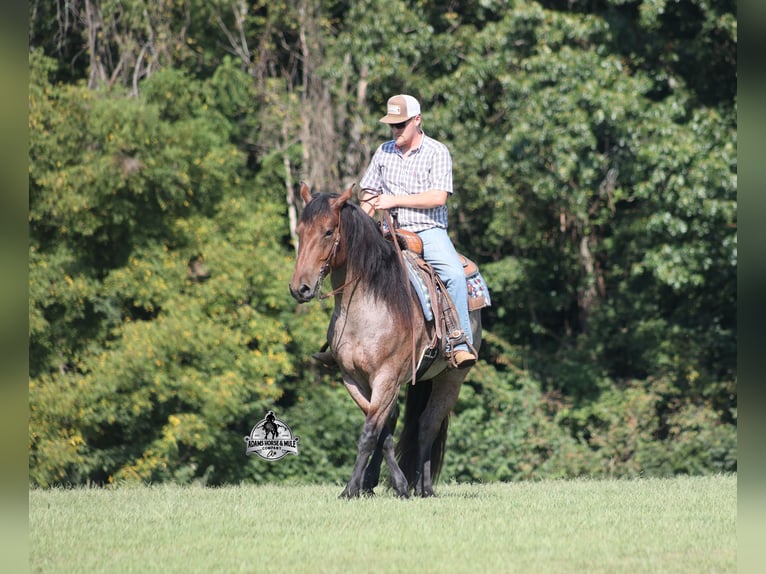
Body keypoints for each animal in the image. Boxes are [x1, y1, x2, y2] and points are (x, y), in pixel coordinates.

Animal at [289, 182, 482, 498]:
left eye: (328, 231)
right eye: (300, 231)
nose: (300, 288)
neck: (367, 308)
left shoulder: (387, 377)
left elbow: (369, 433)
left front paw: (350, 489)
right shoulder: (353, 379)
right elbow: (383, 431)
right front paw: (384, 485)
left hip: (451, 378)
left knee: (427, 426)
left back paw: (425, 487)